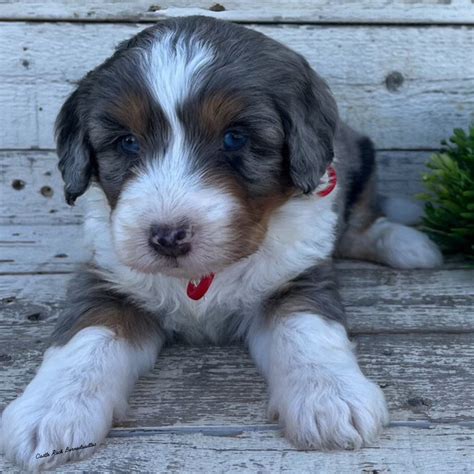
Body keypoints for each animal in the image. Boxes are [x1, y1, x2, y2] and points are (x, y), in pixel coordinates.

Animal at [0, 15, 444, 470]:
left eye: (235, 138)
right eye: (127, 142)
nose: (167, 237)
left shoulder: (297, 274)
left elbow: (306, 330)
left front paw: (331, 398)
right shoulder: (107, 277)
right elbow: (84, 338)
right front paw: (51, 412)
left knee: (361, 223)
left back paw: (408, 245)